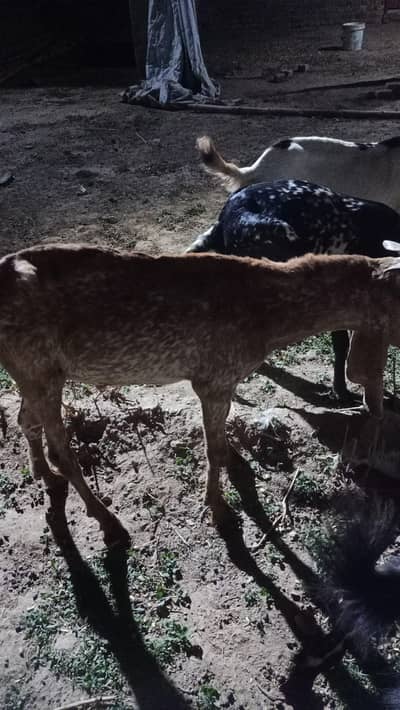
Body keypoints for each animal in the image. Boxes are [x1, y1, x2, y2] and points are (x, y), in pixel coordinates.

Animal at [1, 243, 400, 546]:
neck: (270, 318)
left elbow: (222, 442)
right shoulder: (214, 380)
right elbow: (213, 449)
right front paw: (219, 508)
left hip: (33, 374)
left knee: (26, 420)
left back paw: (44, 475)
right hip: (41, 371)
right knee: (62, 451)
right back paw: (108, 523)